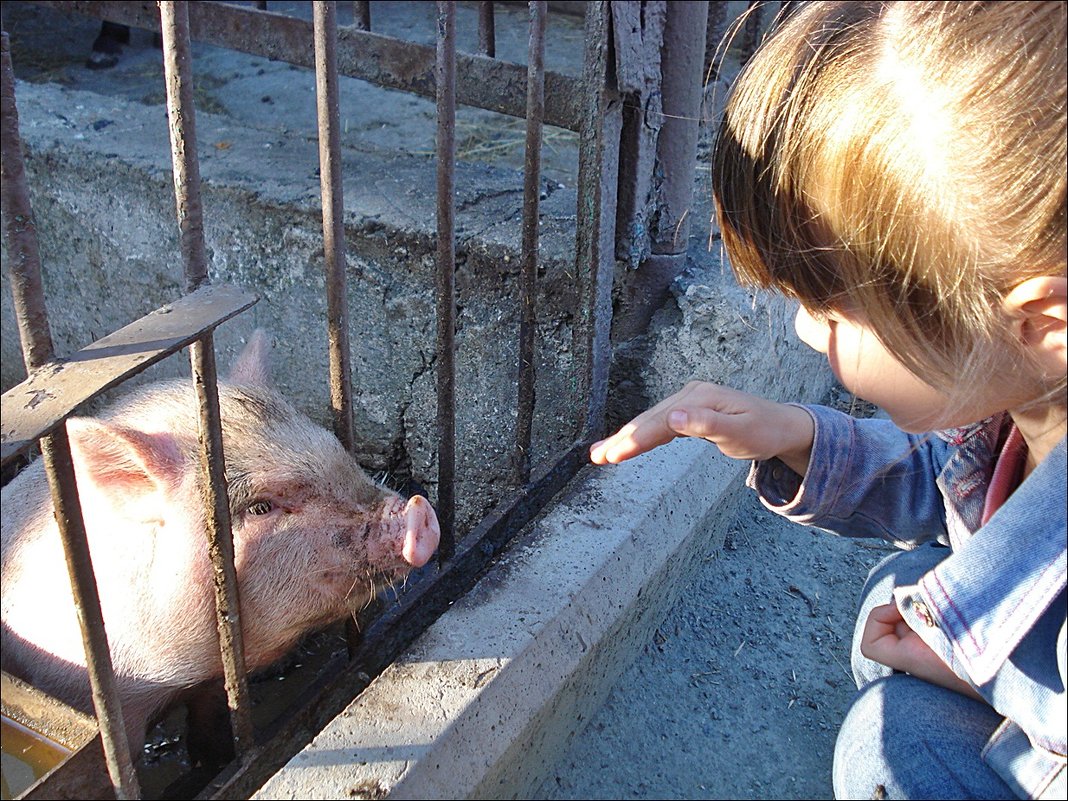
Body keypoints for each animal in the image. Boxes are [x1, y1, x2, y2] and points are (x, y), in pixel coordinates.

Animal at [1, 328, 437, 756]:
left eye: (335, 446)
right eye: (260, 507)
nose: (418, 511)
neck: (180, 675)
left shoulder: (210, 685)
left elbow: (211, 725)